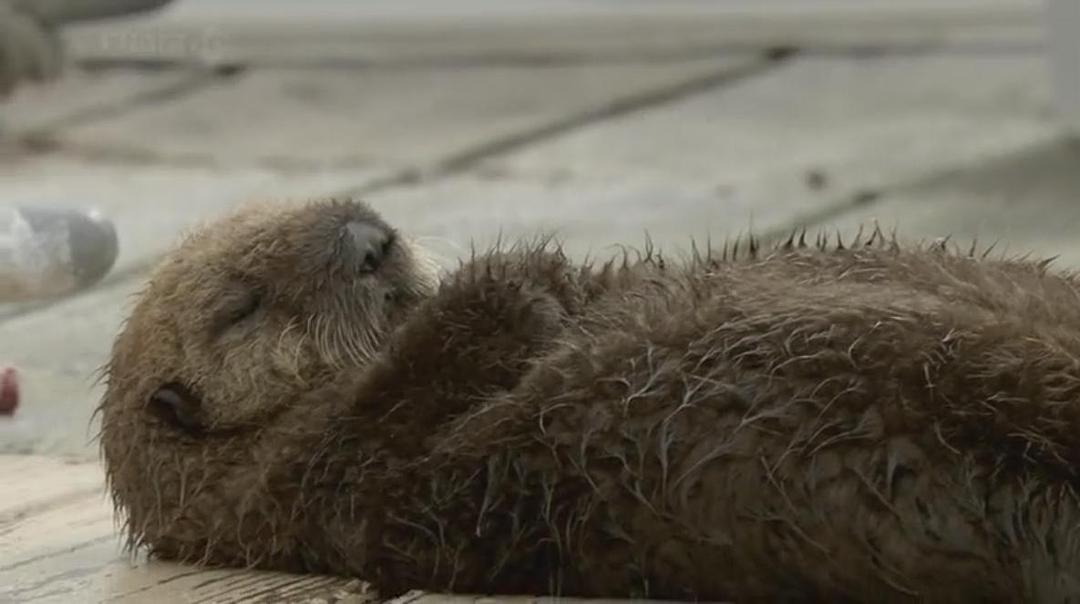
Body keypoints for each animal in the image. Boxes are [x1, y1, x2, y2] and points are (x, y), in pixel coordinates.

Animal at [99, 198, 1080, 603]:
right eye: (241, 305)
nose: (368, 240)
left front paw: (560, 282)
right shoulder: (322, 477)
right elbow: (407, 408)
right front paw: (516, 282)